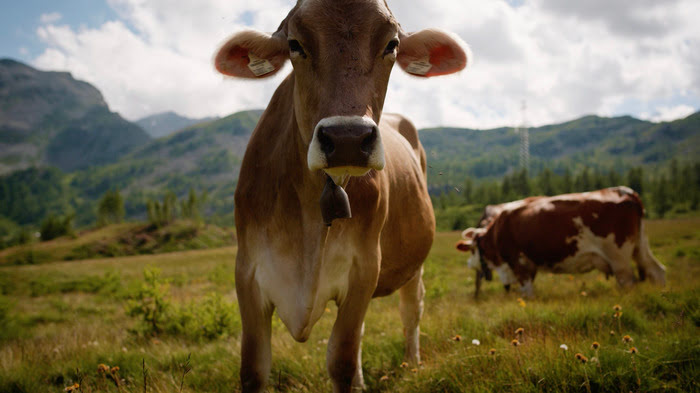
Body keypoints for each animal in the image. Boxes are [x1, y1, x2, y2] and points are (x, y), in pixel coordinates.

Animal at [213, 1, 470, 390]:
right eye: (295, 44)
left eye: (392, 44)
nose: (347, 138)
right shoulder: (248, 272)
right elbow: (254, 370)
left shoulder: (364, 268)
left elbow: (342, 361)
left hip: (414, 264)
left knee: (411, 309)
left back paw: (413, 363)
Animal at [456, 185, 664, 296]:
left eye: (472, 249)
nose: (468, 264)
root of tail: (625, 191)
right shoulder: (529, 266)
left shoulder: (519, 264)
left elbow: (527, 293)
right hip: (640, 247)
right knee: (657, 271)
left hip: (618, 256)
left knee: (627, 281)